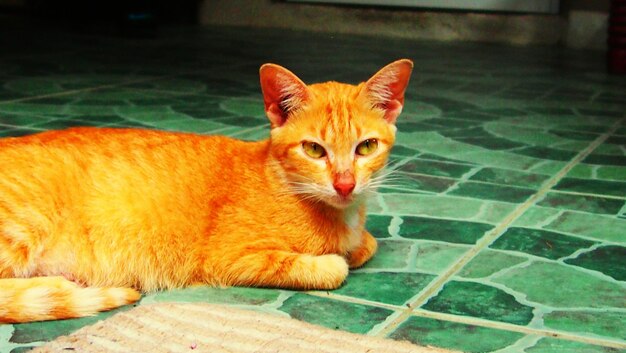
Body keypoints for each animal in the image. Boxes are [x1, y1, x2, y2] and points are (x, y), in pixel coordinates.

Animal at [0, 58, 412, 322]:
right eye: (314, 149)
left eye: (366, 147)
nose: (345, 184)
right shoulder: (230, 259)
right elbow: (332, 267)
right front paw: (337, 257)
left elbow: (366, 244)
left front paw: (356, 243)